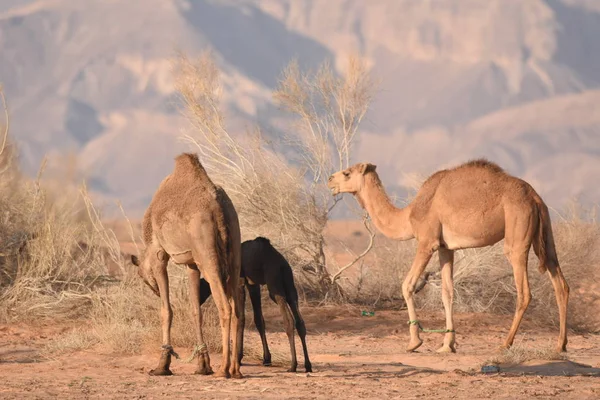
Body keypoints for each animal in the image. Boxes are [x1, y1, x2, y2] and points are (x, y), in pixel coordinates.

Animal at [131, 152, 244, 378]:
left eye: (141, 276)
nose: (154, 290)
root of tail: (218, 206)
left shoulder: (159, 254)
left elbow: (166, 311)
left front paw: (162, 366)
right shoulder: (191, 264)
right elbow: (195, 310)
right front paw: (202, 365)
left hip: (207, 252)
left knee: (225, 307)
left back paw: (223, 369)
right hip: (234, 248)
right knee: (237, 308)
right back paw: (235, 370)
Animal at [200, 236, 314, 374]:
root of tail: (282, 264)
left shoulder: (241, 282)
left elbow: (241, 318)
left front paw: (238, 357)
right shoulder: (253, 284)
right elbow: (259, 319)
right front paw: (266, 359)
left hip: (274, 284)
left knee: (289, 320)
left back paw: (293, 366)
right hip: (290, 283)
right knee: (299, 321)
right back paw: (308, 365)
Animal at [328, 159, 568, 354]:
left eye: (347, 173)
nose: (330, 180)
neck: (409, 215)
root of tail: (534, 197)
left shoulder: (427, 242)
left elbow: (407, 285)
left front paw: (414, 342)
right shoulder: (445, 248)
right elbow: (447, 292)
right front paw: (447, 344)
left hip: (517, 232)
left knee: (524, 291)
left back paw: (505, 344)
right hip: (546, 233)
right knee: (560, 283)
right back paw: (560, 345)